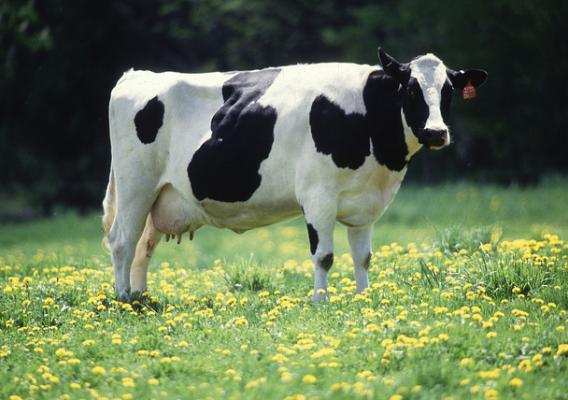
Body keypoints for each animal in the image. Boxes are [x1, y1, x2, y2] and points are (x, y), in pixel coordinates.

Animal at [102, 49, 488, 300]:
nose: (437, 132)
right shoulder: (318, 196)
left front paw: (364, 298)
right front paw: (320, 301)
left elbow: (363, 256)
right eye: (410, 89)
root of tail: (136, 75)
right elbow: (324, 255)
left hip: (161, 195)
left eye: (448, 91)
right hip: (135, 185)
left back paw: (142, 297)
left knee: (143, 245)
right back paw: (124, 299)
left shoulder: (365, 204)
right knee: (122, 240)